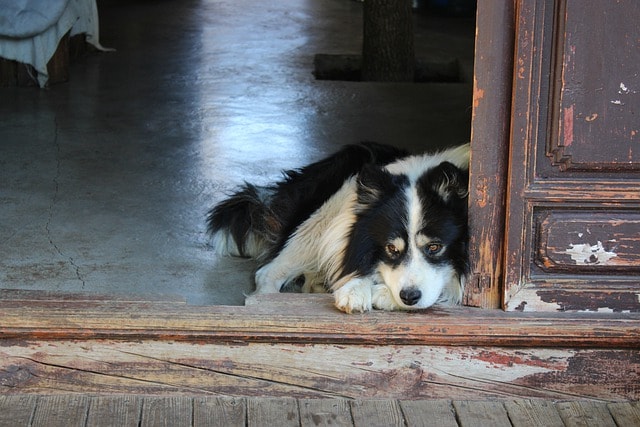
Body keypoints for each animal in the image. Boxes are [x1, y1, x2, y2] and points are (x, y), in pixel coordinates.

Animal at [206, 142, 470, 312]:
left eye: (434, 247)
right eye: (391, 249)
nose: (409, 297)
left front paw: (382, 294)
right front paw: (355, 291)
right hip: (325, 212)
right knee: (268, 273)